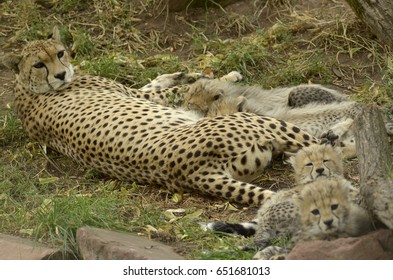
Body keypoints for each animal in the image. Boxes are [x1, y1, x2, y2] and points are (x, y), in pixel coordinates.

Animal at [3, 27, 322, 206]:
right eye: (38, 64)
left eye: (60, 53)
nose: (60, 74)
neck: (26, 88)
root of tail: (188, 174)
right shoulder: (138, 96)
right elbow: (182, 91)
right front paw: (223, 78)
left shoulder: (137, 91)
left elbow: (158, 82)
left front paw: (182, 73)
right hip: (268, 125)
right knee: (320, 145)